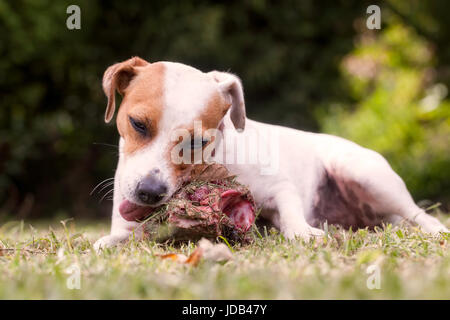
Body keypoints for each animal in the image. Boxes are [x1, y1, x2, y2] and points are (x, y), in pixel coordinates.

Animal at [93, 57, 448, 250]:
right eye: (137, 124)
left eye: (196, 142)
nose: (149, 193)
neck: (217, 163)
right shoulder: (126, 226)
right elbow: (114, 238)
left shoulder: (280, 188)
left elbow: (291, 211)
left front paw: (303, 231)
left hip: (363, 173)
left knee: (420, 214)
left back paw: (436, 230)